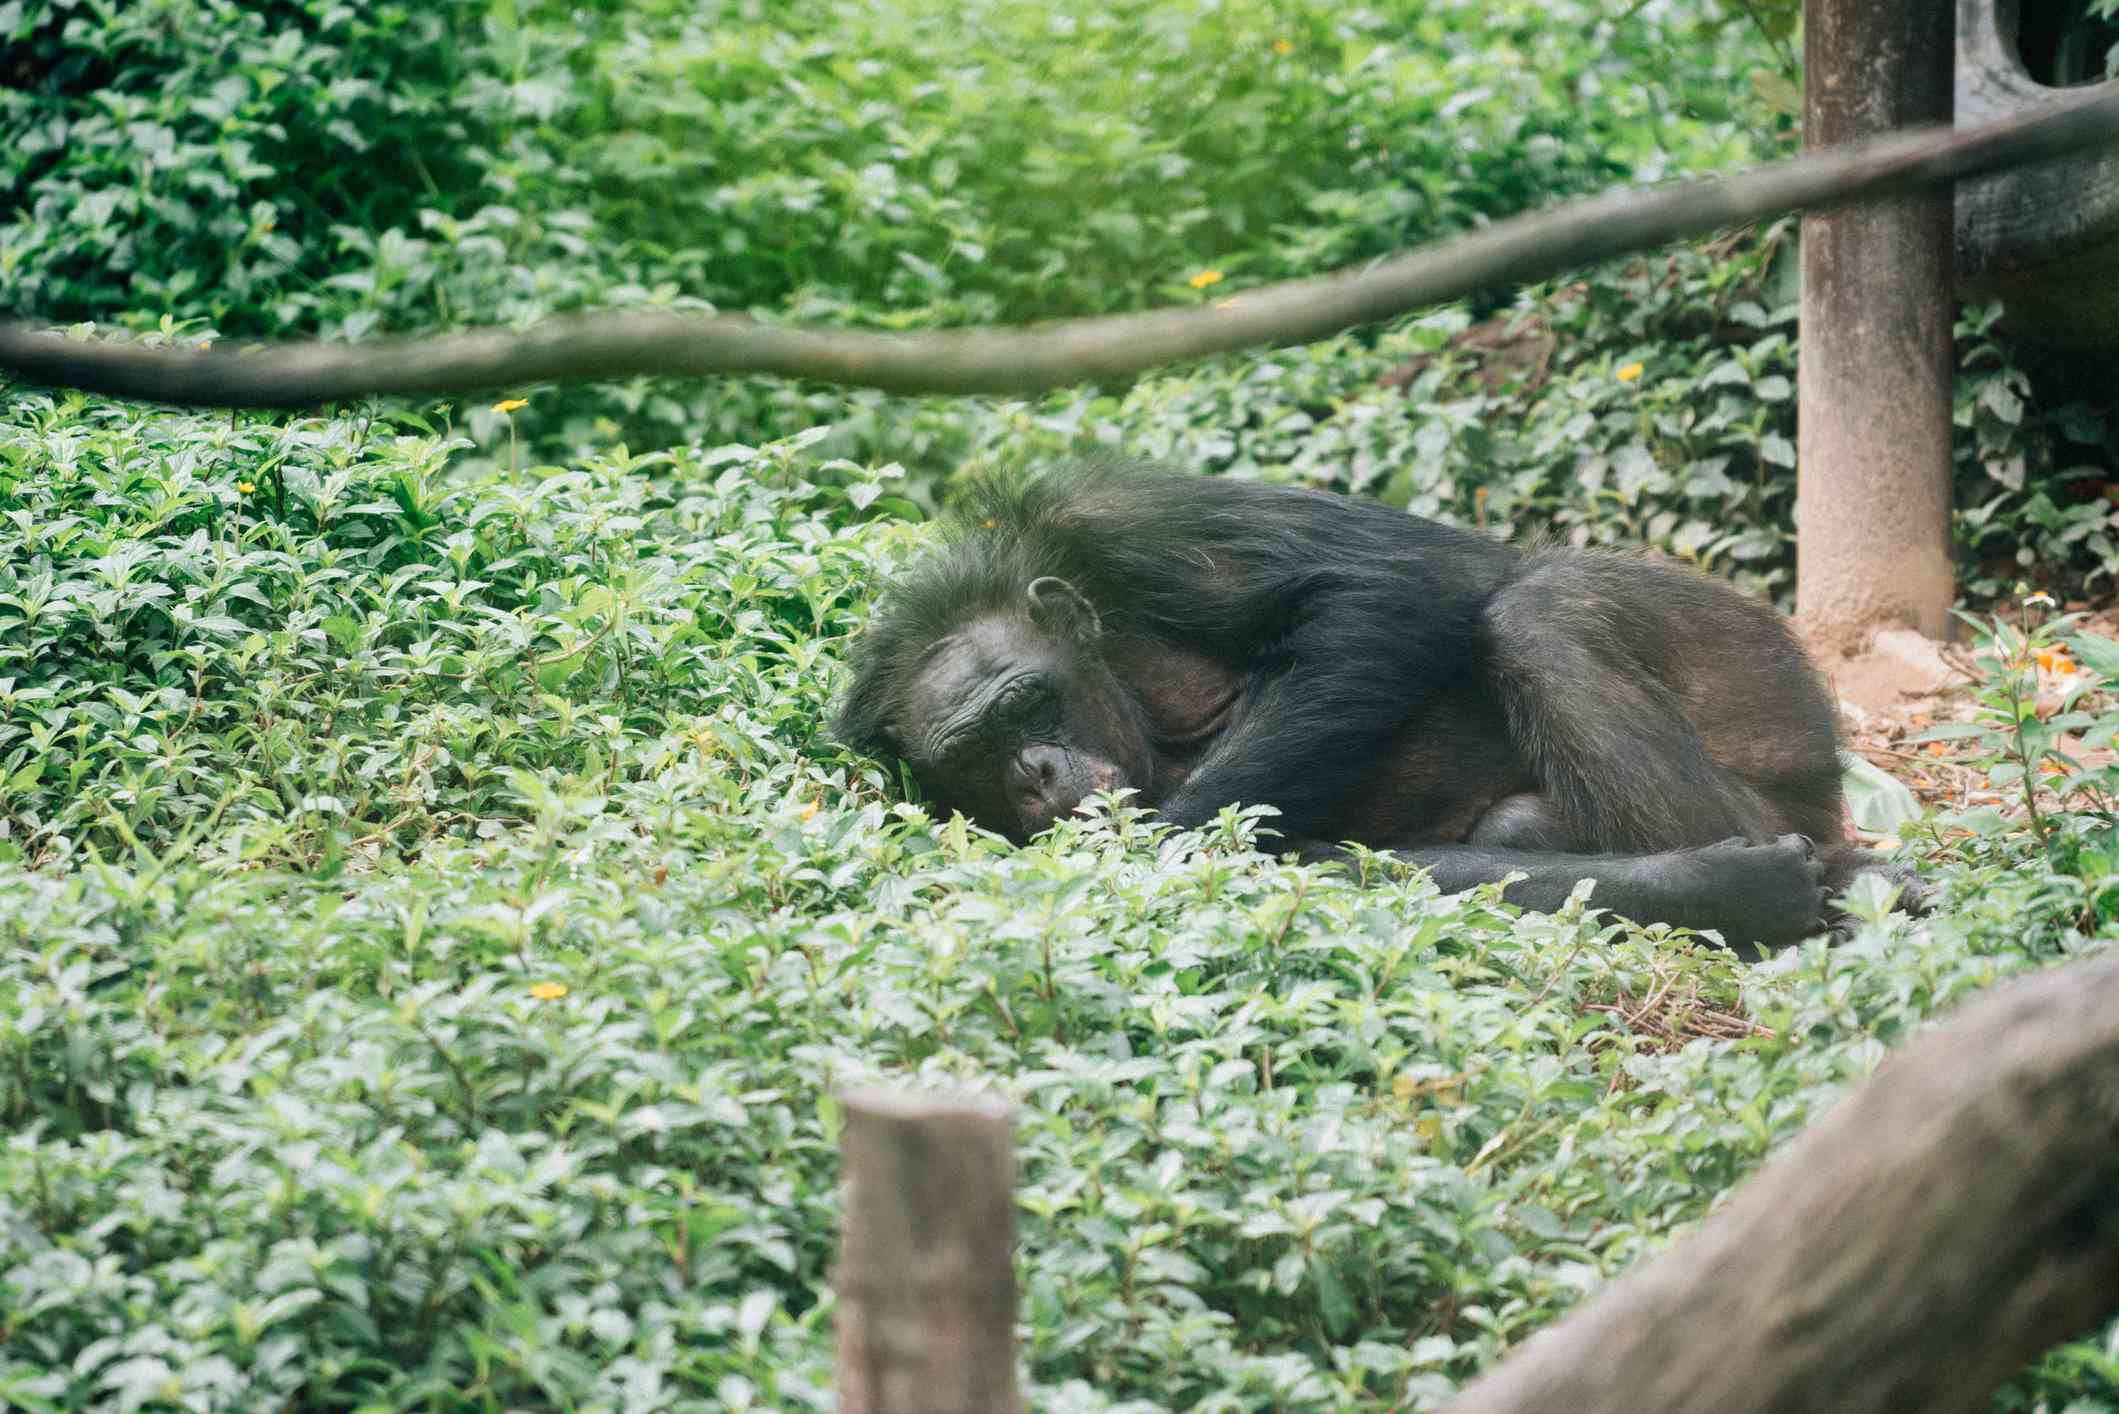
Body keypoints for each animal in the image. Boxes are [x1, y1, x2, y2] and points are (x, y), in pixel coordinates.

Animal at [839, 464, 1924, 949]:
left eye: (1028, 703)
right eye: (974, 755)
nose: (1032, 772)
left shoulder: (1138, 525)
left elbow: (1379, 592)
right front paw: (1708, 888)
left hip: (1753, 685)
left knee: (1541, 610)